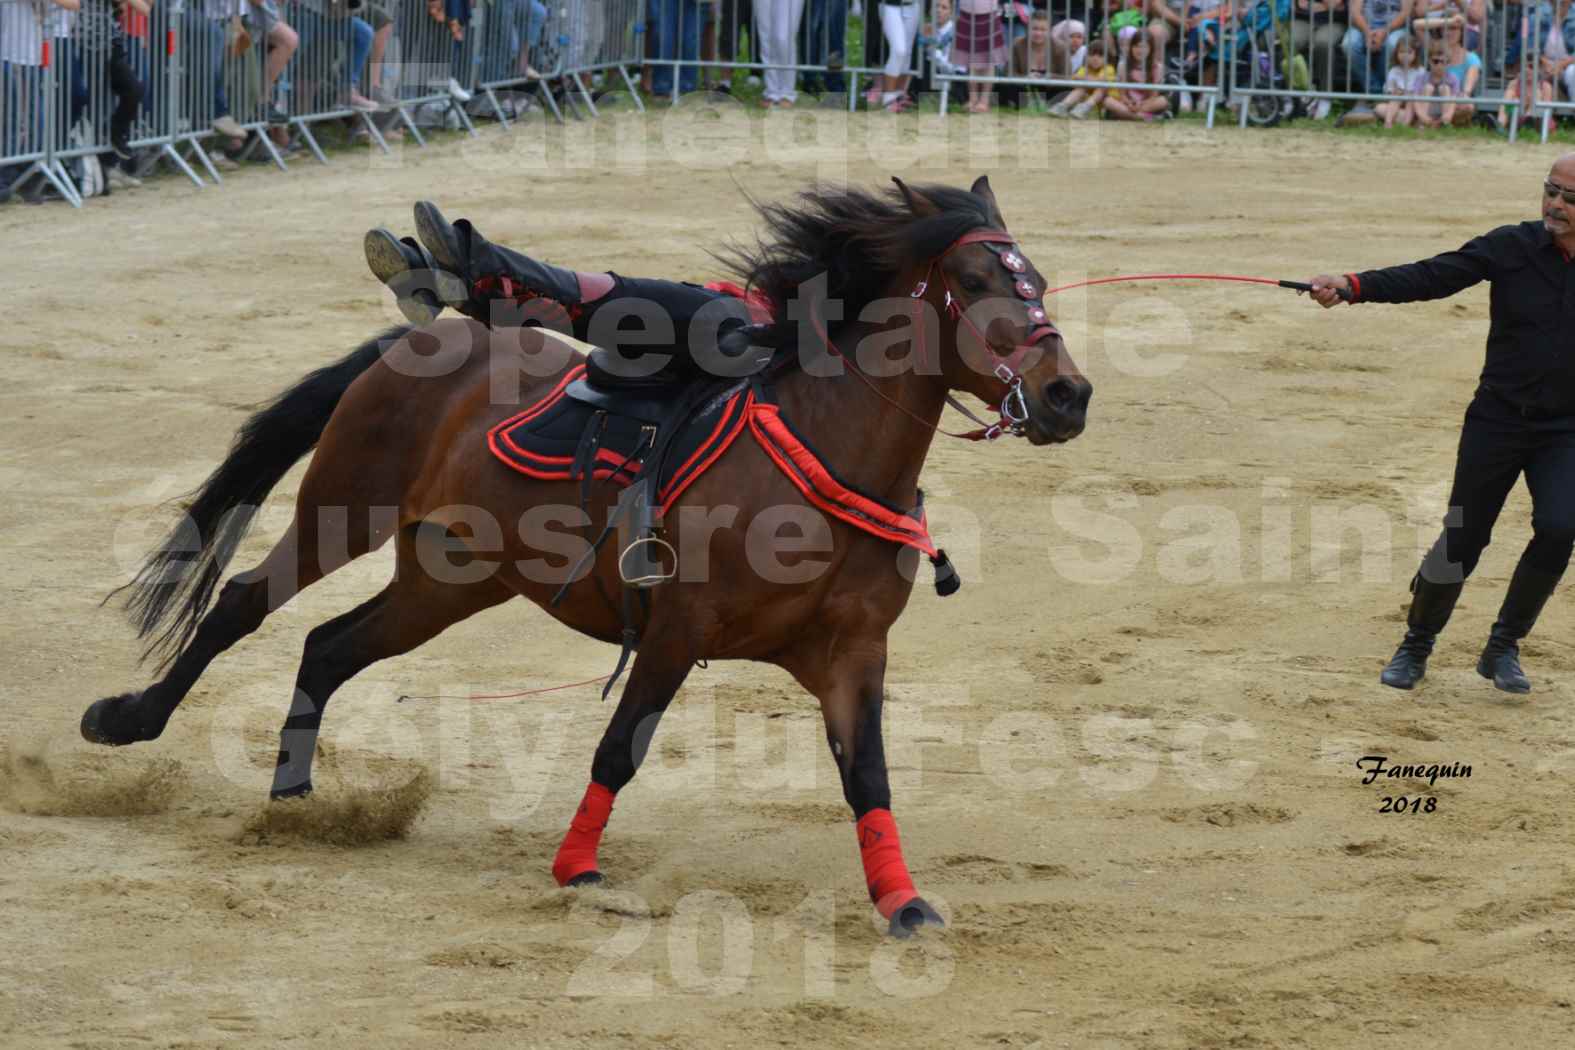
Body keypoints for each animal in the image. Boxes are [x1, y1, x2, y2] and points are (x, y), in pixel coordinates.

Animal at [83, 178, 1096, 938]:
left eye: (1038, 279)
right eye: (975, 277)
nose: (1067, 395)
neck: (823, 452)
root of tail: (418, 341)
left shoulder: (852, 655)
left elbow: (867, 778)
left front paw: (903, 902)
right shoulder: (676, 629)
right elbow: (621, 747)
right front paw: (576, 867)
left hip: (447, 580)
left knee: (327, 648)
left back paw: (293, 798)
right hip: (341, 512)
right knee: (241, 606)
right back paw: (129, 719)